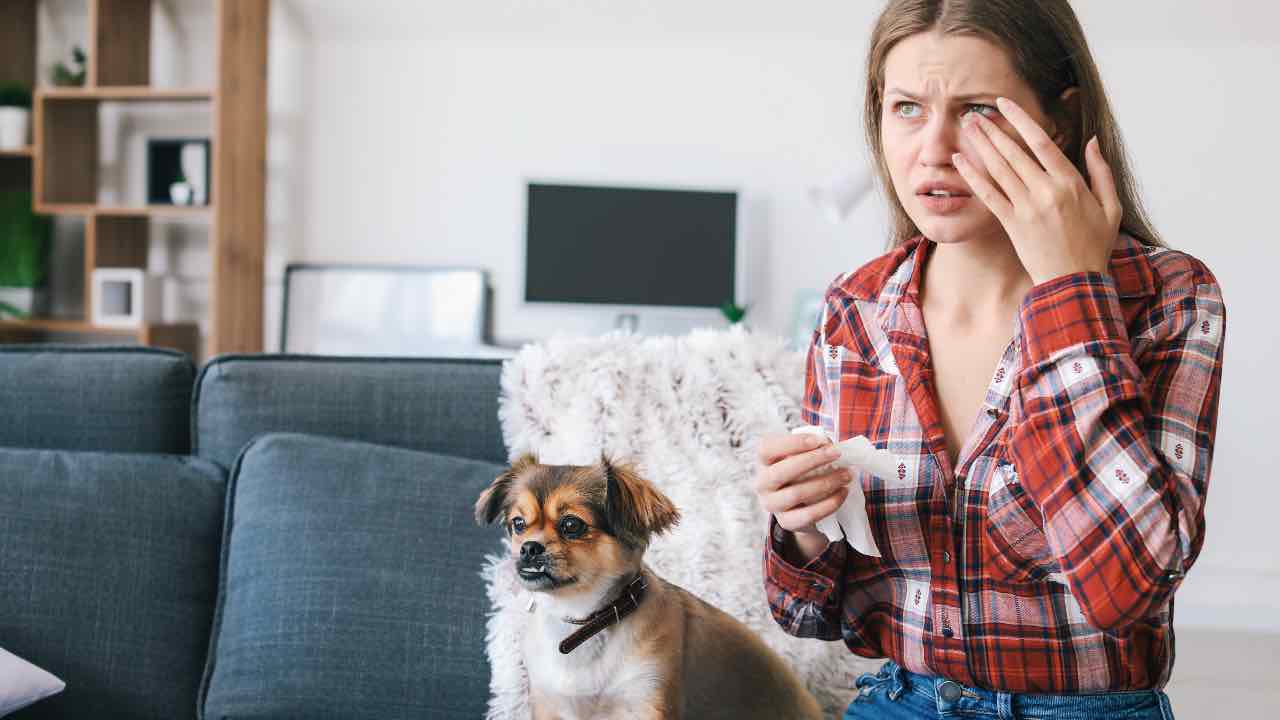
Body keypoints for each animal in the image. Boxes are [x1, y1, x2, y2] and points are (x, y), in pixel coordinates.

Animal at [476, 450, 824, 717]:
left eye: (571, 525)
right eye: (518, 524)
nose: (529, 548)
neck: (585, 623)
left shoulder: (648, 697)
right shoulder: (552, 705)